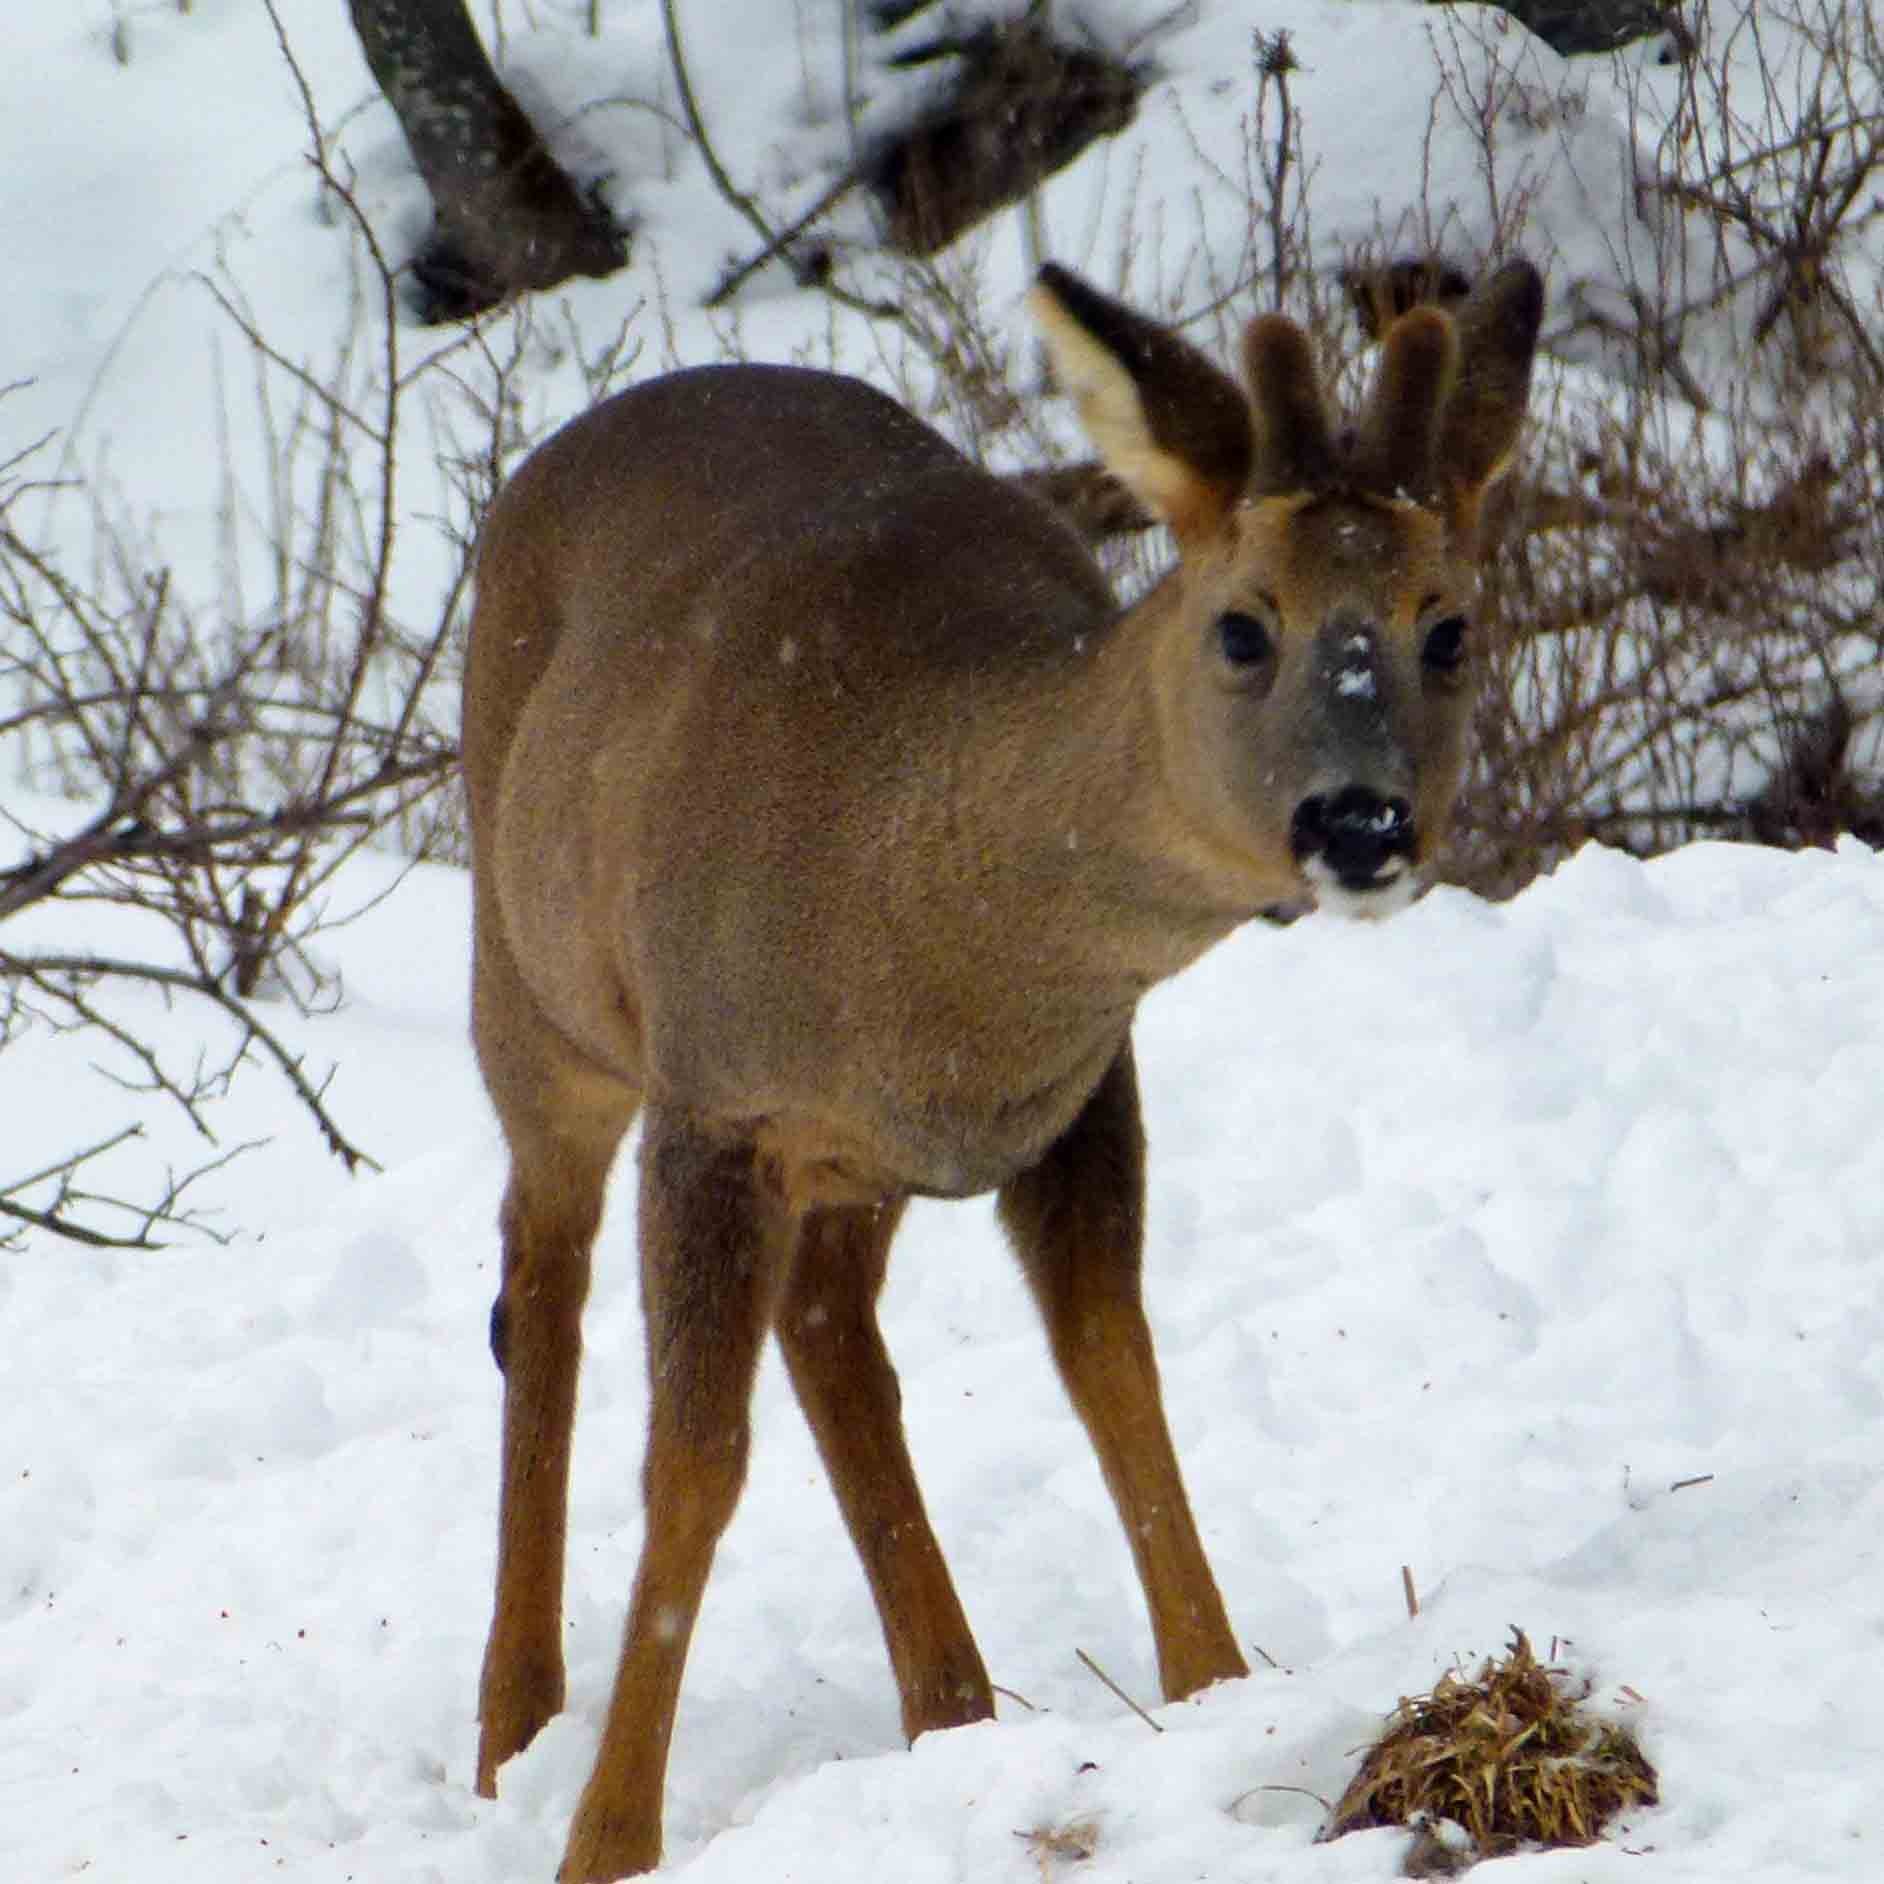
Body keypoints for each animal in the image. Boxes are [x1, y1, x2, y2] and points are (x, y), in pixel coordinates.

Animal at [463, 258, 1537, 1876]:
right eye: (1244, 626)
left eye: (1450, 627)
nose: (1361, 823)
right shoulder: (713, 1095)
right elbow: (693, 1465)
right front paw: (605, 1843)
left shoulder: (1082, 1090)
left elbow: (1115, 1371)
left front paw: (1216, 1693)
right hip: (534, 996)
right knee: (540, 1283)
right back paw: (514, 1733)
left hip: (850, 1165)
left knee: (831, 1328)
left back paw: (952, 1708)